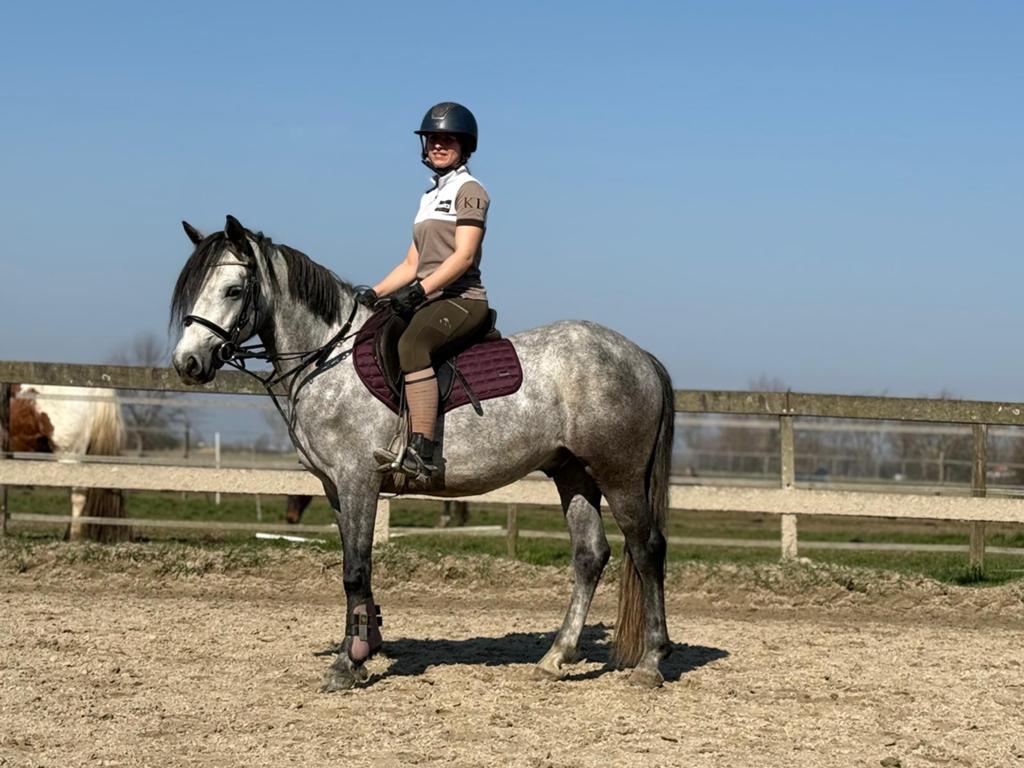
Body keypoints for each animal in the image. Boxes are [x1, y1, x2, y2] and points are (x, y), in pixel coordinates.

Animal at [170, 215, 674, 690]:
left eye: (234, 290)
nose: (187, 363)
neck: (327, 357)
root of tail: (639, 356)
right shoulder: (335, 487)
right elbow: (357, 564)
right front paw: (366, 645)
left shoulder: (358, 479)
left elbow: (355, 569)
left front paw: (347, 664)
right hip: (573, 472)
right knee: (590, 555)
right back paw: (555, 657)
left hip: (619, 474)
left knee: (646, 548)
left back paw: (651, 662)